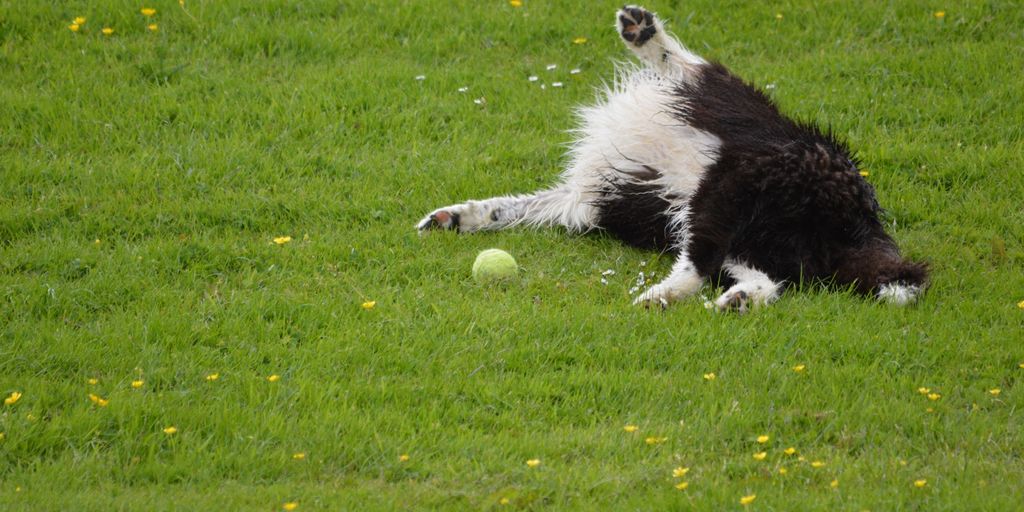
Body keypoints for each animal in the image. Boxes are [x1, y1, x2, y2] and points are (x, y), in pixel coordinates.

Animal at [413, 4, 929, 311]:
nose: (638, 25)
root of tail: (861, 225)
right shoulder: (582, 199)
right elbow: (509, 209)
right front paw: (459, 217)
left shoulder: (710, 86)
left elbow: (677, 58)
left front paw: (641, 29)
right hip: (749, 234)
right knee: (754, 276)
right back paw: (736, 299)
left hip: (729, 184)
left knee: (699, 263)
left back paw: (661, 295)